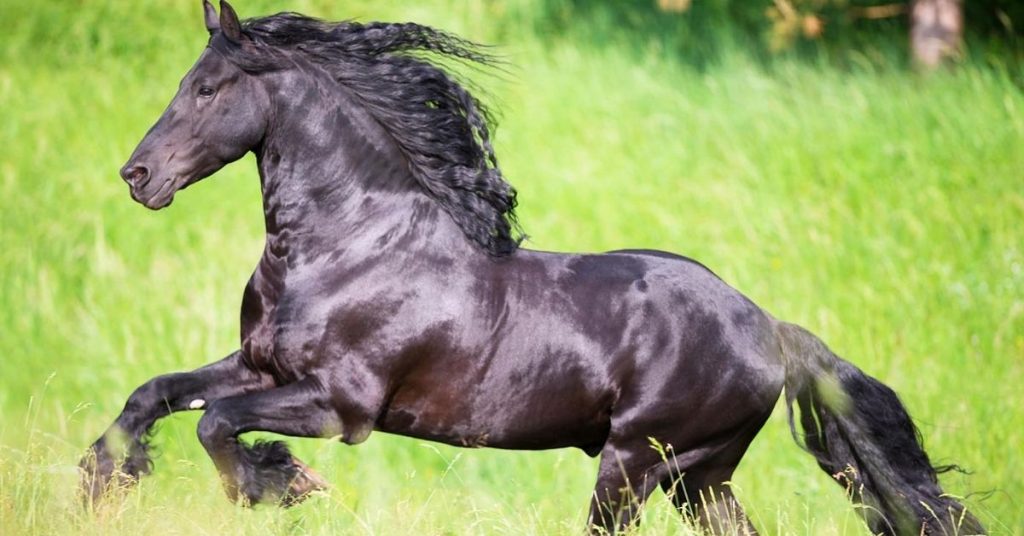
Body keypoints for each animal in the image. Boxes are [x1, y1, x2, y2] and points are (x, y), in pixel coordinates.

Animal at [80, 2, 984, 534]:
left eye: (207, 89)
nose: (135, 176)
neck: (350, 246)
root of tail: (770, 329)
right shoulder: (259, 365)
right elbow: (156, 395)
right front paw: (101, 482)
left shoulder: (341, 405)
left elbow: (217, 424)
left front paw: (281, 485)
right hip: (700, 477)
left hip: (635, 466)